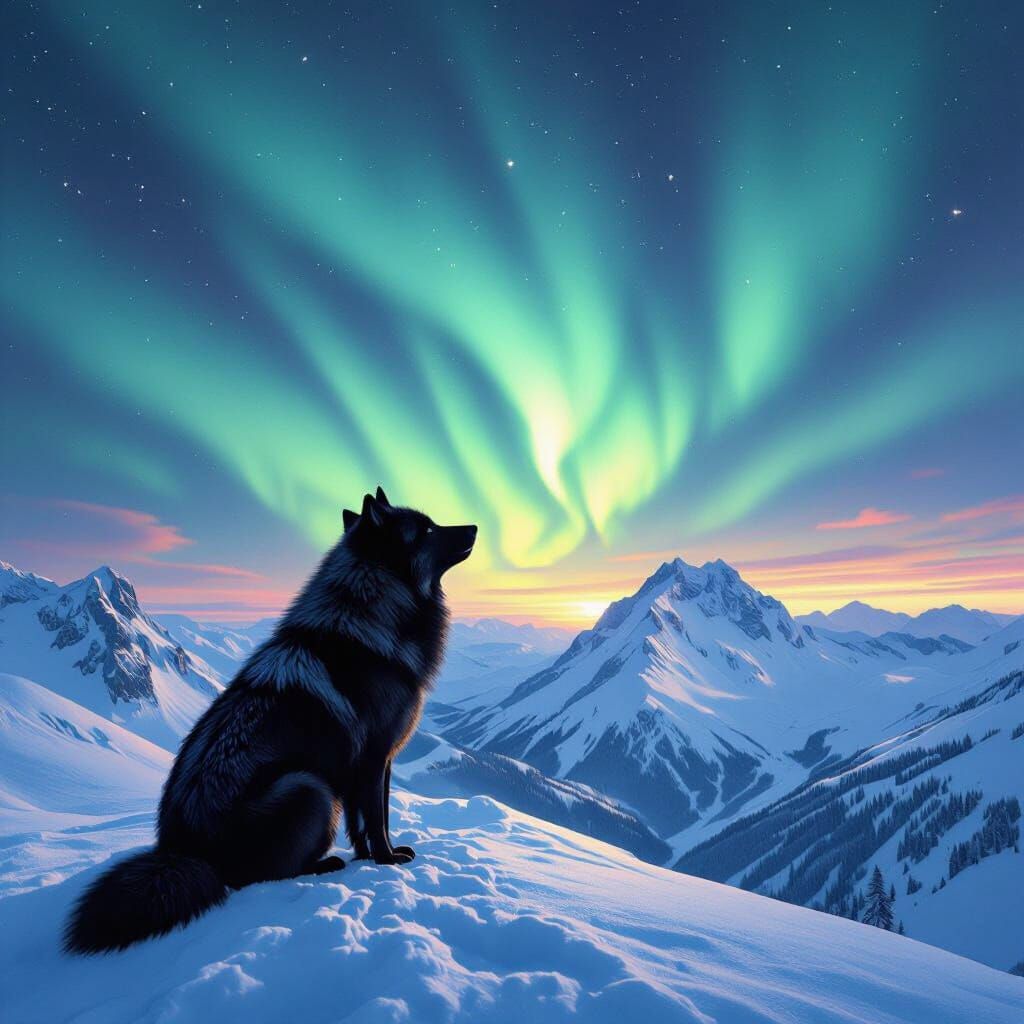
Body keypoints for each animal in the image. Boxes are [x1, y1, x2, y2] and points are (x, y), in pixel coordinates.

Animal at [64, 487, 476, 954]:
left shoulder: (359, 769)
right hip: (309, 787)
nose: (474, 528)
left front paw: (369, 858)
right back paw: (323, 865)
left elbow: (362, 825)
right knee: (260, 876)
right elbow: (379, 819)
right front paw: (388, 860)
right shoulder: (375, 759)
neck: (369, 614)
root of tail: (187, 851)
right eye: (426, 530)